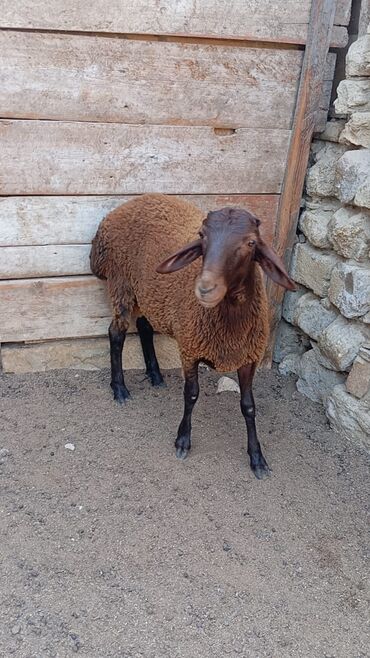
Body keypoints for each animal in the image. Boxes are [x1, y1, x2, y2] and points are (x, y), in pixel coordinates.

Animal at [89, 193, 294, 476]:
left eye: (251, 242)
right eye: (201, 235)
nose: (205, 288)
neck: (229, 322)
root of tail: (126, 205)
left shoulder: (249, 357)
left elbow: (249, 406)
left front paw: (257, 458)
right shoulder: (190, 348)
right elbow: (191, 394)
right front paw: (182, 441)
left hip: (148, 293)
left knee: (144, 327)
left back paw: (155, 375)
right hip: (122, 284)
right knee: (116, 333)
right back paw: (119, 389)